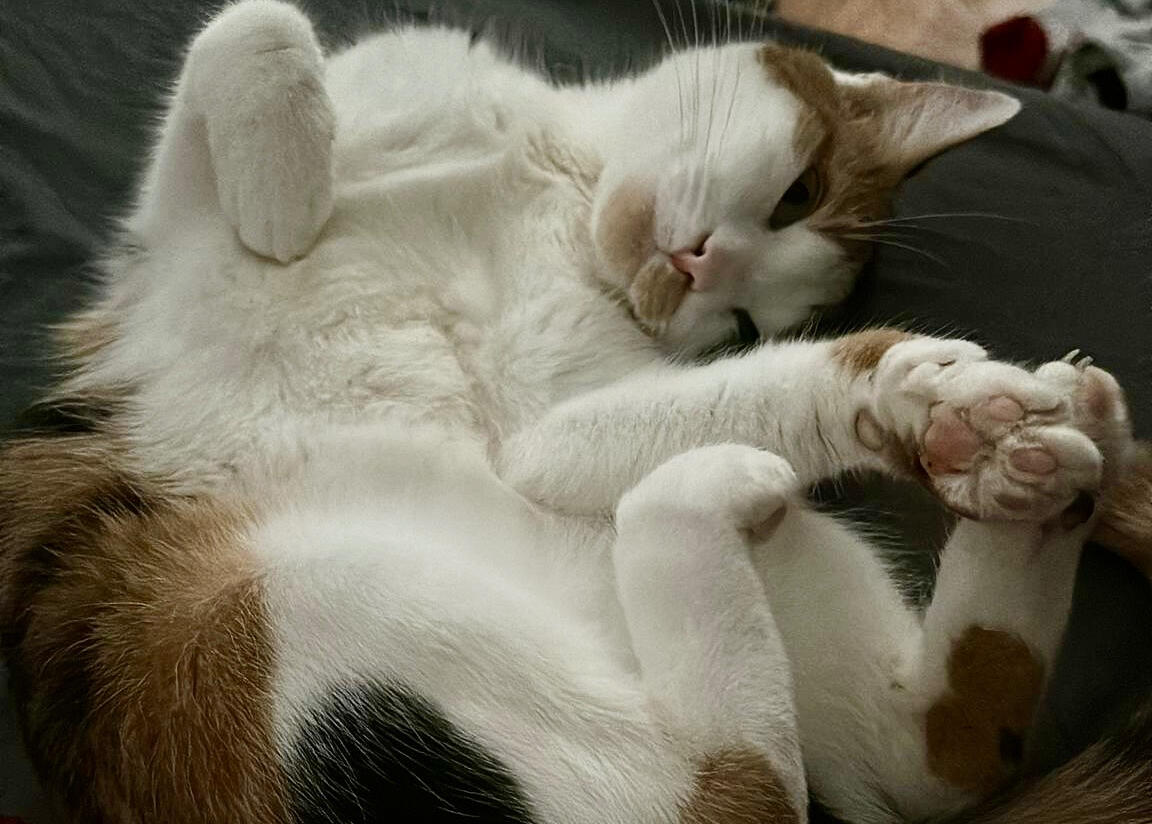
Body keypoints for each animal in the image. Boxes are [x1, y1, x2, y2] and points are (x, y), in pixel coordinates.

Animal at [0, 2, 1147, 823]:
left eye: (747, 319)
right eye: (798, 192)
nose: (698, 271)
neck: (561, 171)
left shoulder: (555, 419)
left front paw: (911, 391)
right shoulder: (181, 223)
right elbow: (258, 26)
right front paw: (284, 194)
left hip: (316, 603)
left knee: (804, 783)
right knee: (906, 763)